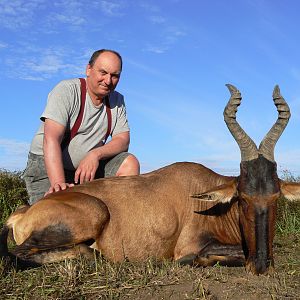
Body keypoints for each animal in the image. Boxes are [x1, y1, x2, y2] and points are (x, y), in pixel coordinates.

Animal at [0, 84, 300, 274]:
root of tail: (23, 212)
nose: (261, 266)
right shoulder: (190, 245)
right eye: (243, 197)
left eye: (275, 196)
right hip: (93, 213)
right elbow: (208, 255)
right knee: (19, 255)